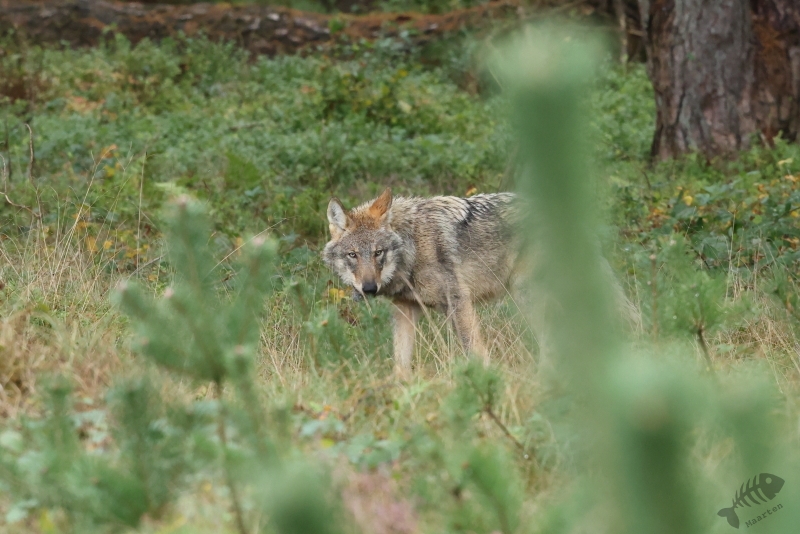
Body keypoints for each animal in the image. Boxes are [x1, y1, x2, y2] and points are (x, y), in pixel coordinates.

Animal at [322, 188, 523, 376]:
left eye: (378, 252)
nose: (369, 288)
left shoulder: (458, 301)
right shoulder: (404, 309)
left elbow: (475, 352)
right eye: (352, 255)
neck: (413, 248)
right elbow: (400, 364)